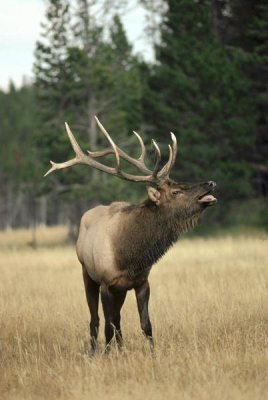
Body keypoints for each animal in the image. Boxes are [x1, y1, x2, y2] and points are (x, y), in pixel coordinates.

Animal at [45, 116, 217, 354]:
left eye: (180, 183)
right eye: (176, 192)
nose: (210, 182)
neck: (129, 256)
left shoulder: (141, 281)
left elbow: (146, 324)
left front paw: (152, 353)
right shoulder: (106, 283)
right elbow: (107, 325)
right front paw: (107, 355)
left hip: (121, 289)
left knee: (117, 319)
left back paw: (120, 348)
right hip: (87, 274)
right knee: (96, 319)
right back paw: (95, 350)